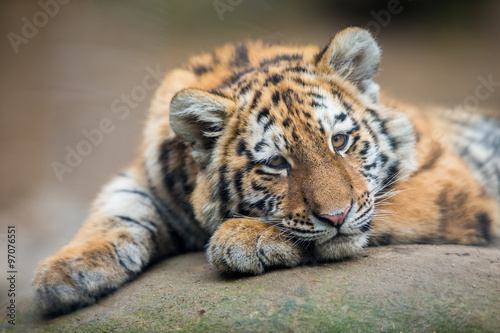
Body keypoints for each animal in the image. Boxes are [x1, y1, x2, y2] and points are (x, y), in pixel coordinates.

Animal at [32, 27, 500, 314]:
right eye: (276, 163)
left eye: (340, 141)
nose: (337, 216)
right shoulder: (146, 178)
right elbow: (117, 208)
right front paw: (65, 272)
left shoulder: (448, 181)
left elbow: (382, 208)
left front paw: (244, 238)